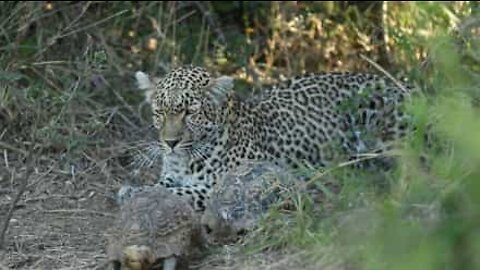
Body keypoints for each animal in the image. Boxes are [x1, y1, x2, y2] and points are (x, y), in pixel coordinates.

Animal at [116, 65, 412, 213]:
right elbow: (161, 186)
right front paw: (132, 191)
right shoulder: (171, 174)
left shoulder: (221, 186)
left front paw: (133, 194)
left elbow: (178, 192)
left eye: (189, 112)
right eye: (160, 112)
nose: (170, 142)